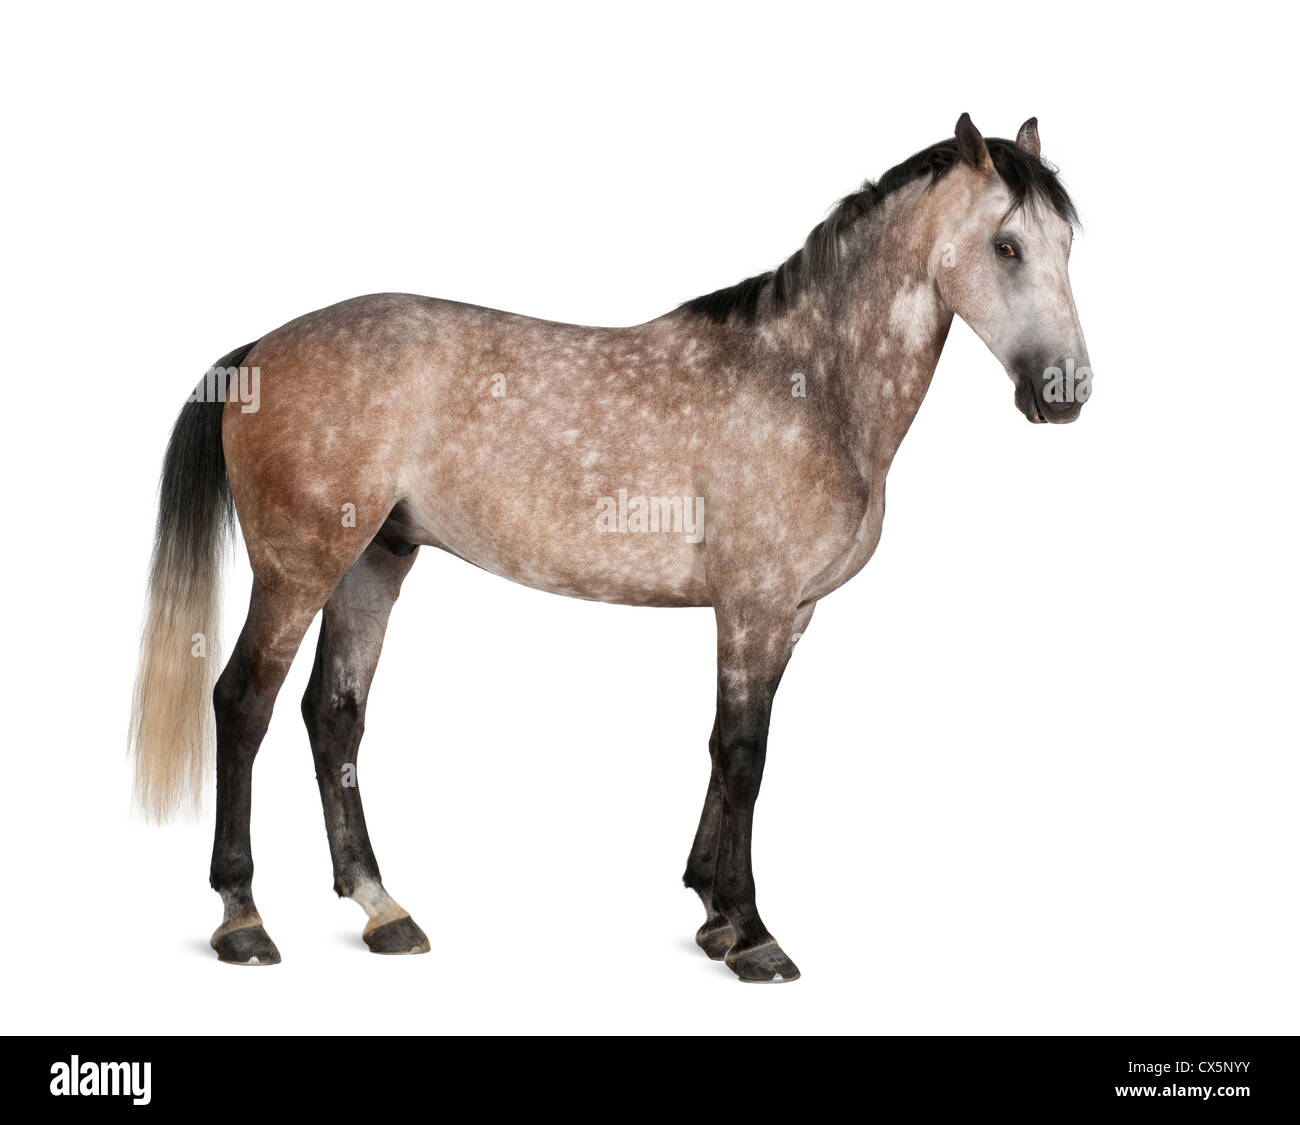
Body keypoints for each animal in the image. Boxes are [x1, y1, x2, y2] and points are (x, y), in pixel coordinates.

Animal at [129, 109, 1086, 978]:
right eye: (1007, 246)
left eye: (1068, 242)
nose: (1065, 391)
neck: (809, 384)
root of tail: (259, 348)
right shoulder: (753, 605)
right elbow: (744, 754)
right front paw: (752, 933)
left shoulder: (789, 614)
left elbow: (726, 746)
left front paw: (712, 912)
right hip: (298, 570)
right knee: (242, 704)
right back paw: (243, 920)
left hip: (374, 561)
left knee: (334, 717)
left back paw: (384, 910)